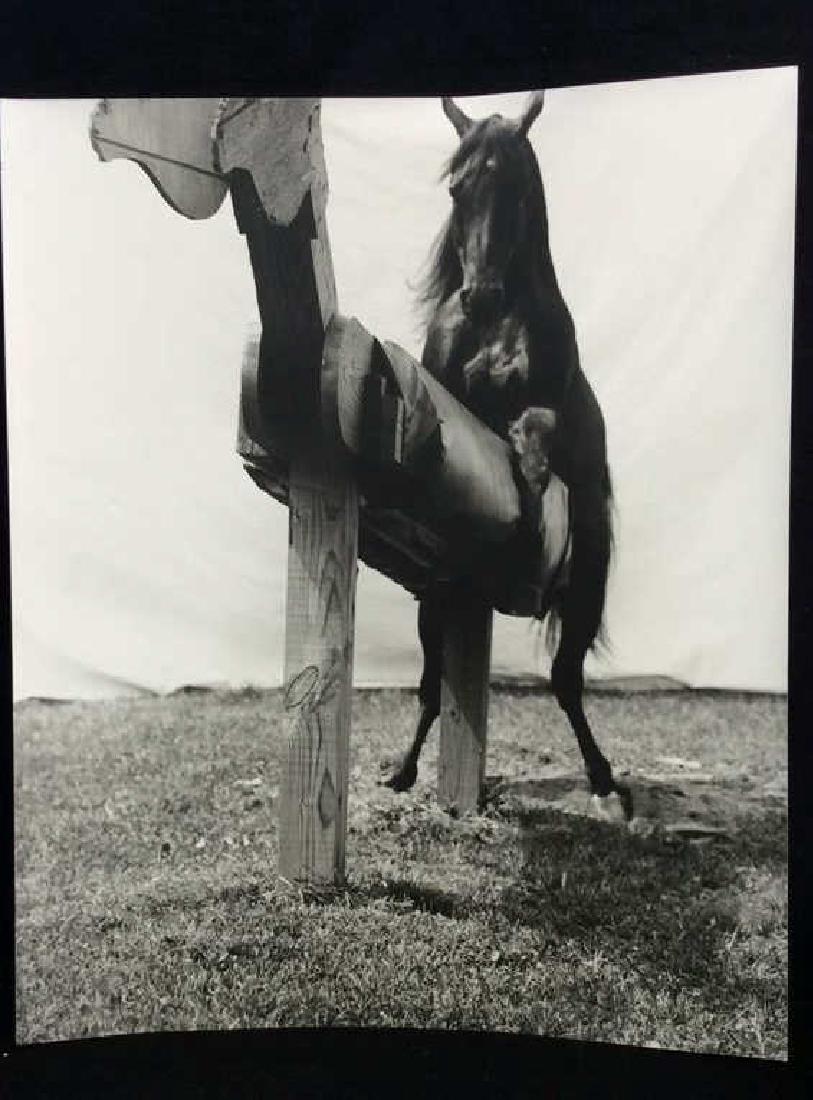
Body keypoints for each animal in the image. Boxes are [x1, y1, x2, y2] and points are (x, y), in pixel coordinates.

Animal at [385, 91, 633, 821]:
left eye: (517, 188)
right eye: (457, 189)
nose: (482, 296)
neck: (498, 328)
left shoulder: (544, 404)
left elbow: (536, 424)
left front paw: (531, 464)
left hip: (587, 581)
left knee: (565, 680)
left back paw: (604, 781)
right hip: (432, 601)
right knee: (432, 680)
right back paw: (403, 770)